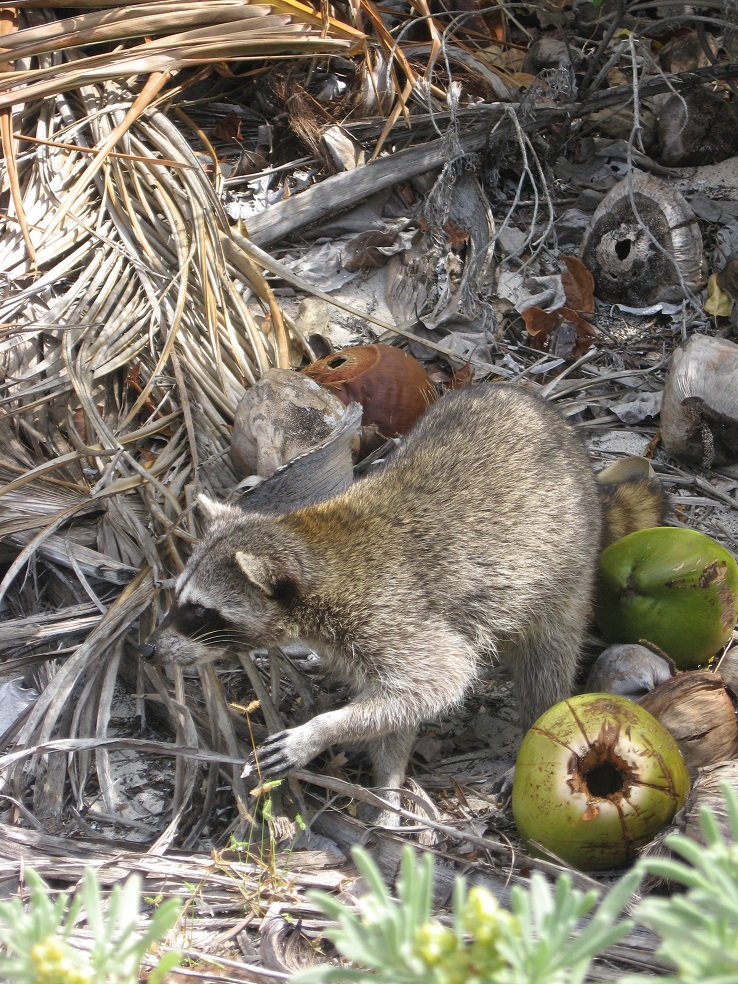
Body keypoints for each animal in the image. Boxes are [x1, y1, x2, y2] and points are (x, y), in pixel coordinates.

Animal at [141, 384, 664, 816]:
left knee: (546, 659)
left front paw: (324, 730)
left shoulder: (390, 615)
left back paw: (538, 721)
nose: (149, 649)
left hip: (564, 572)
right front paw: (388, 779)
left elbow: (435, 682)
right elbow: (400, 710)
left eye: (199, 612)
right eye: (179, 598)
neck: (311, 546)